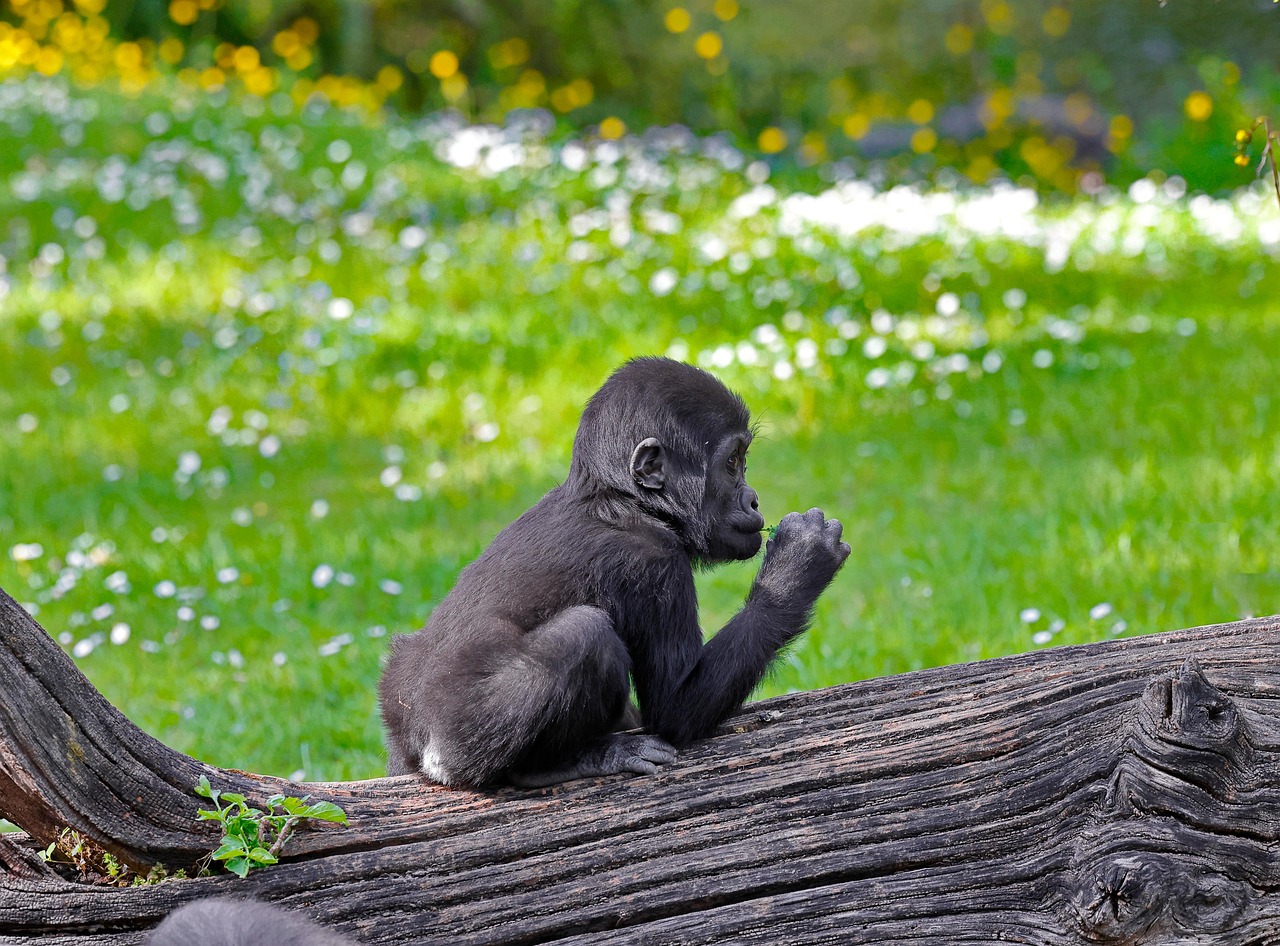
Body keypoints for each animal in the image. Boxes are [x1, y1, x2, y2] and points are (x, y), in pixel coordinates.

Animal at [379, 357, 850, 787]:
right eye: (732, 461)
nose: (752, 499)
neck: (621, 498)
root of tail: (410, 742)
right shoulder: (656, 563)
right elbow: (675, 709)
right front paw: (800, 564)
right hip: (457, 742)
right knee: (585, 635)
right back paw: (551, 766)